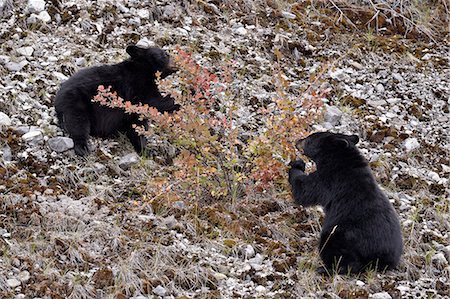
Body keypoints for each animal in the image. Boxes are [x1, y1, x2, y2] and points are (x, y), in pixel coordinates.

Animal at [290, 132, 402, 276]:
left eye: (309, 139)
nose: (297, 141)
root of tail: (378, 258)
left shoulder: (328, 180)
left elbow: (305, 189)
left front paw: (297, 165)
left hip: (341, 236)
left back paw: (326, 268)